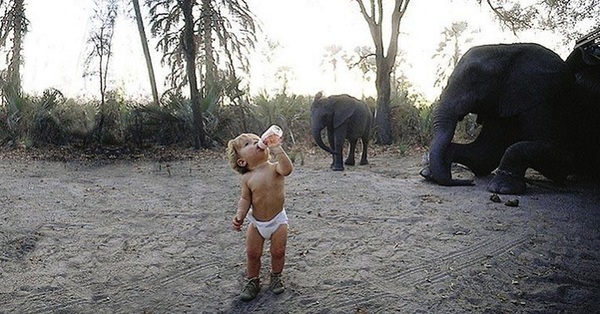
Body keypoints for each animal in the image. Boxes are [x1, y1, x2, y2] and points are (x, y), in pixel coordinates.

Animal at [420, 33, 596, 194]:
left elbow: (558, 155)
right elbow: (483, 154)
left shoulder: (540, 98)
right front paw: (429, 173)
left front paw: (502, 189)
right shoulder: (501, 104)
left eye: (474, 80)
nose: (468, 182)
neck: (507, 50)